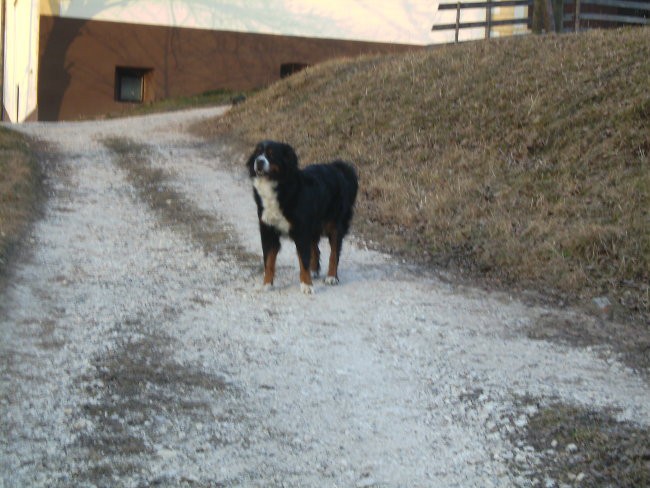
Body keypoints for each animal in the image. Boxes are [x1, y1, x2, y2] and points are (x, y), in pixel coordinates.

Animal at [248, 139, 360, 296]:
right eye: (258, 153)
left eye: (271, 154)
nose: (259, 161)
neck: (277, 186)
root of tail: (339, 168)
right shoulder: (268, 231)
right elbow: (269, 261)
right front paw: (266, 284)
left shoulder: (301, 231)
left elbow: (304, 260)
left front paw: (306, 285)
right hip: (313, 226)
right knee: (316, 249)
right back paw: (314, 271)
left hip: (335, 225)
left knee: (334, 253)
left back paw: (331, 277)